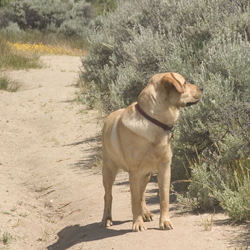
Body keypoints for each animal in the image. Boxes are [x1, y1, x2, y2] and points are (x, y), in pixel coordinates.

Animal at [100, 72, 203, 232]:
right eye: (185, 83)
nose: (202, 88)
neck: (154, 121)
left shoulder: (165, 168)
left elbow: (164, 198)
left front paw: (165, 221)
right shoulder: (134, 172)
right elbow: (134, 201)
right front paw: (137, 223)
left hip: (146, 175)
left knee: (142, 194)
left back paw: (146, 214)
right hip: (109, 170)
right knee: (108, 196)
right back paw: (107, 219)